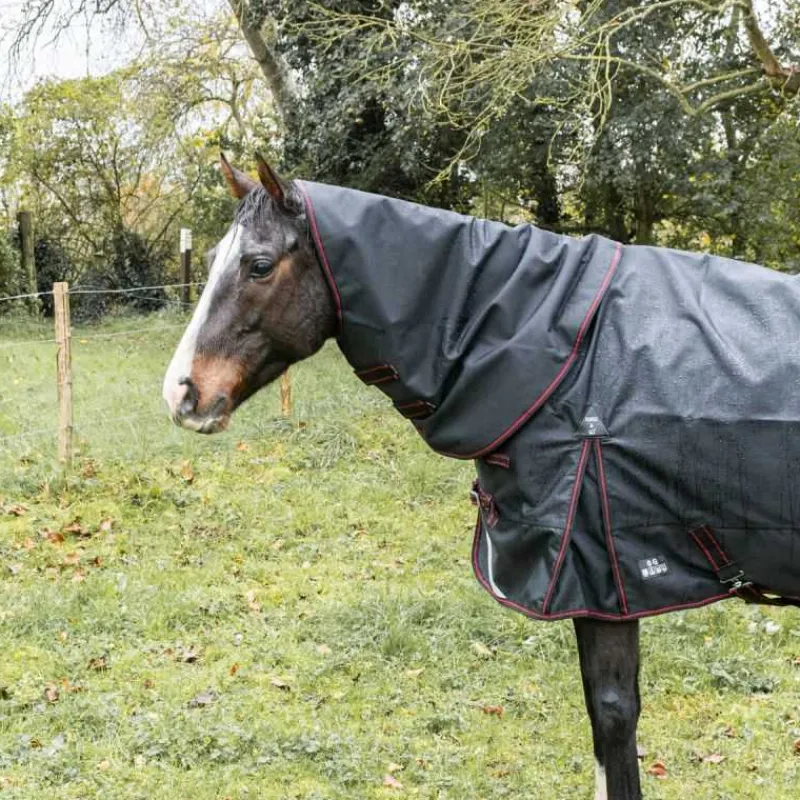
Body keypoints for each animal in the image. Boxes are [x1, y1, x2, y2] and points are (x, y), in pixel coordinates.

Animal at [163, 154, 800, 799]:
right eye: (212, 257)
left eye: (259, 264)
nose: (181, 393)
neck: (566, 360)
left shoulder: (603, 583)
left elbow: (613, 716)